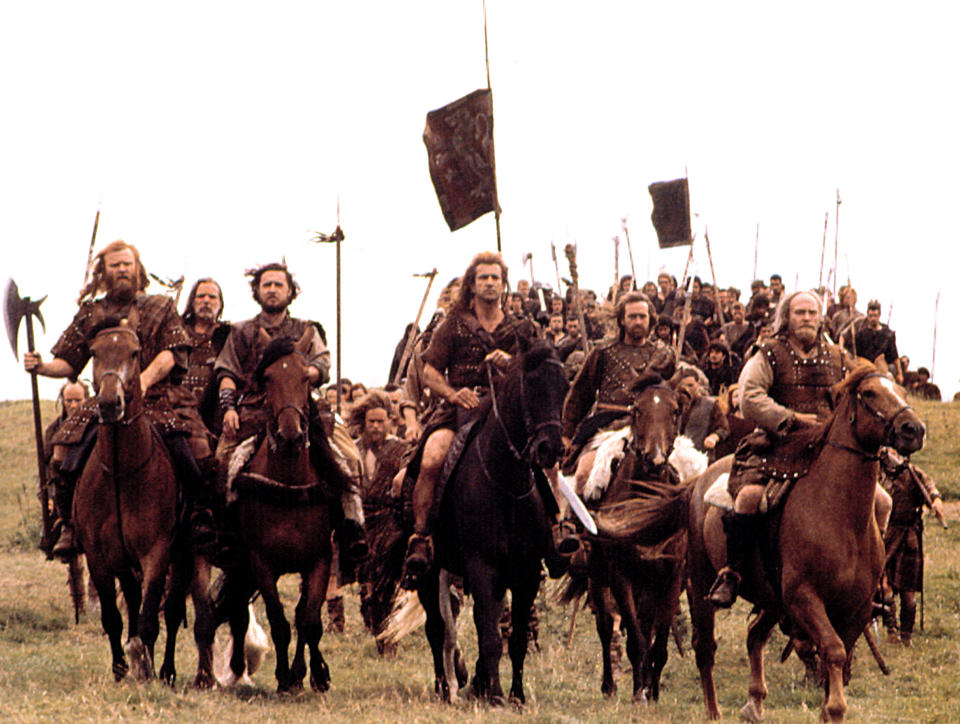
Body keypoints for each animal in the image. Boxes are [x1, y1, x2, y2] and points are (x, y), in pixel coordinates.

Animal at [72, 320, 214, 684]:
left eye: (134, 353)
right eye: (94, 352)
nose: (110, 402)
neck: (121, 472)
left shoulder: (157, 552)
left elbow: (152, 616)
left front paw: (146, 672)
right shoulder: (99, 556)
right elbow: (114, 616)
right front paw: (121, 669)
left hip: (190, 552)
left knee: (186, 609)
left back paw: (185, 674)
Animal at [219, 330, 340, 692]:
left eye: (306, 378)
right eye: (269, 378)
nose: (290, 436)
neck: (288, 485)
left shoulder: (319, 560)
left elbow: (309, 620)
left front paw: (313, 674)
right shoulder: (260, 562)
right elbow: (279, 620)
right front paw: (285, 677)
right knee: (239, 611)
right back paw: (237, 667)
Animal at [420, 342, 568, 704]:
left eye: (564, 387)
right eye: (531, 386)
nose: (551, 449)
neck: (507, 485)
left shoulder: (525, 572)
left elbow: (514, 639)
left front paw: (515, 694)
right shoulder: (482, 565)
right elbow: (488, 637)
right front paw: (497, 694)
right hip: (428, 572)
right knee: (436, 628)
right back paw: (444, 686)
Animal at [592, 360, 924, 720]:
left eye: (901, 391)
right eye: (869, 393)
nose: (913, 429)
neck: (840, 517)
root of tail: (698, 481)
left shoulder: (856, 608)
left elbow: (837, 655)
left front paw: (827, 707)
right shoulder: (804, 598)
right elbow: (833, 651)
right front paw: (834, 709)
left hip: (770, 599)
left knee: (754, 636)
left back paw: (754, 702)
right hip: (701, 581)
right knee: (704, 648)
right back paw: (714, 711)